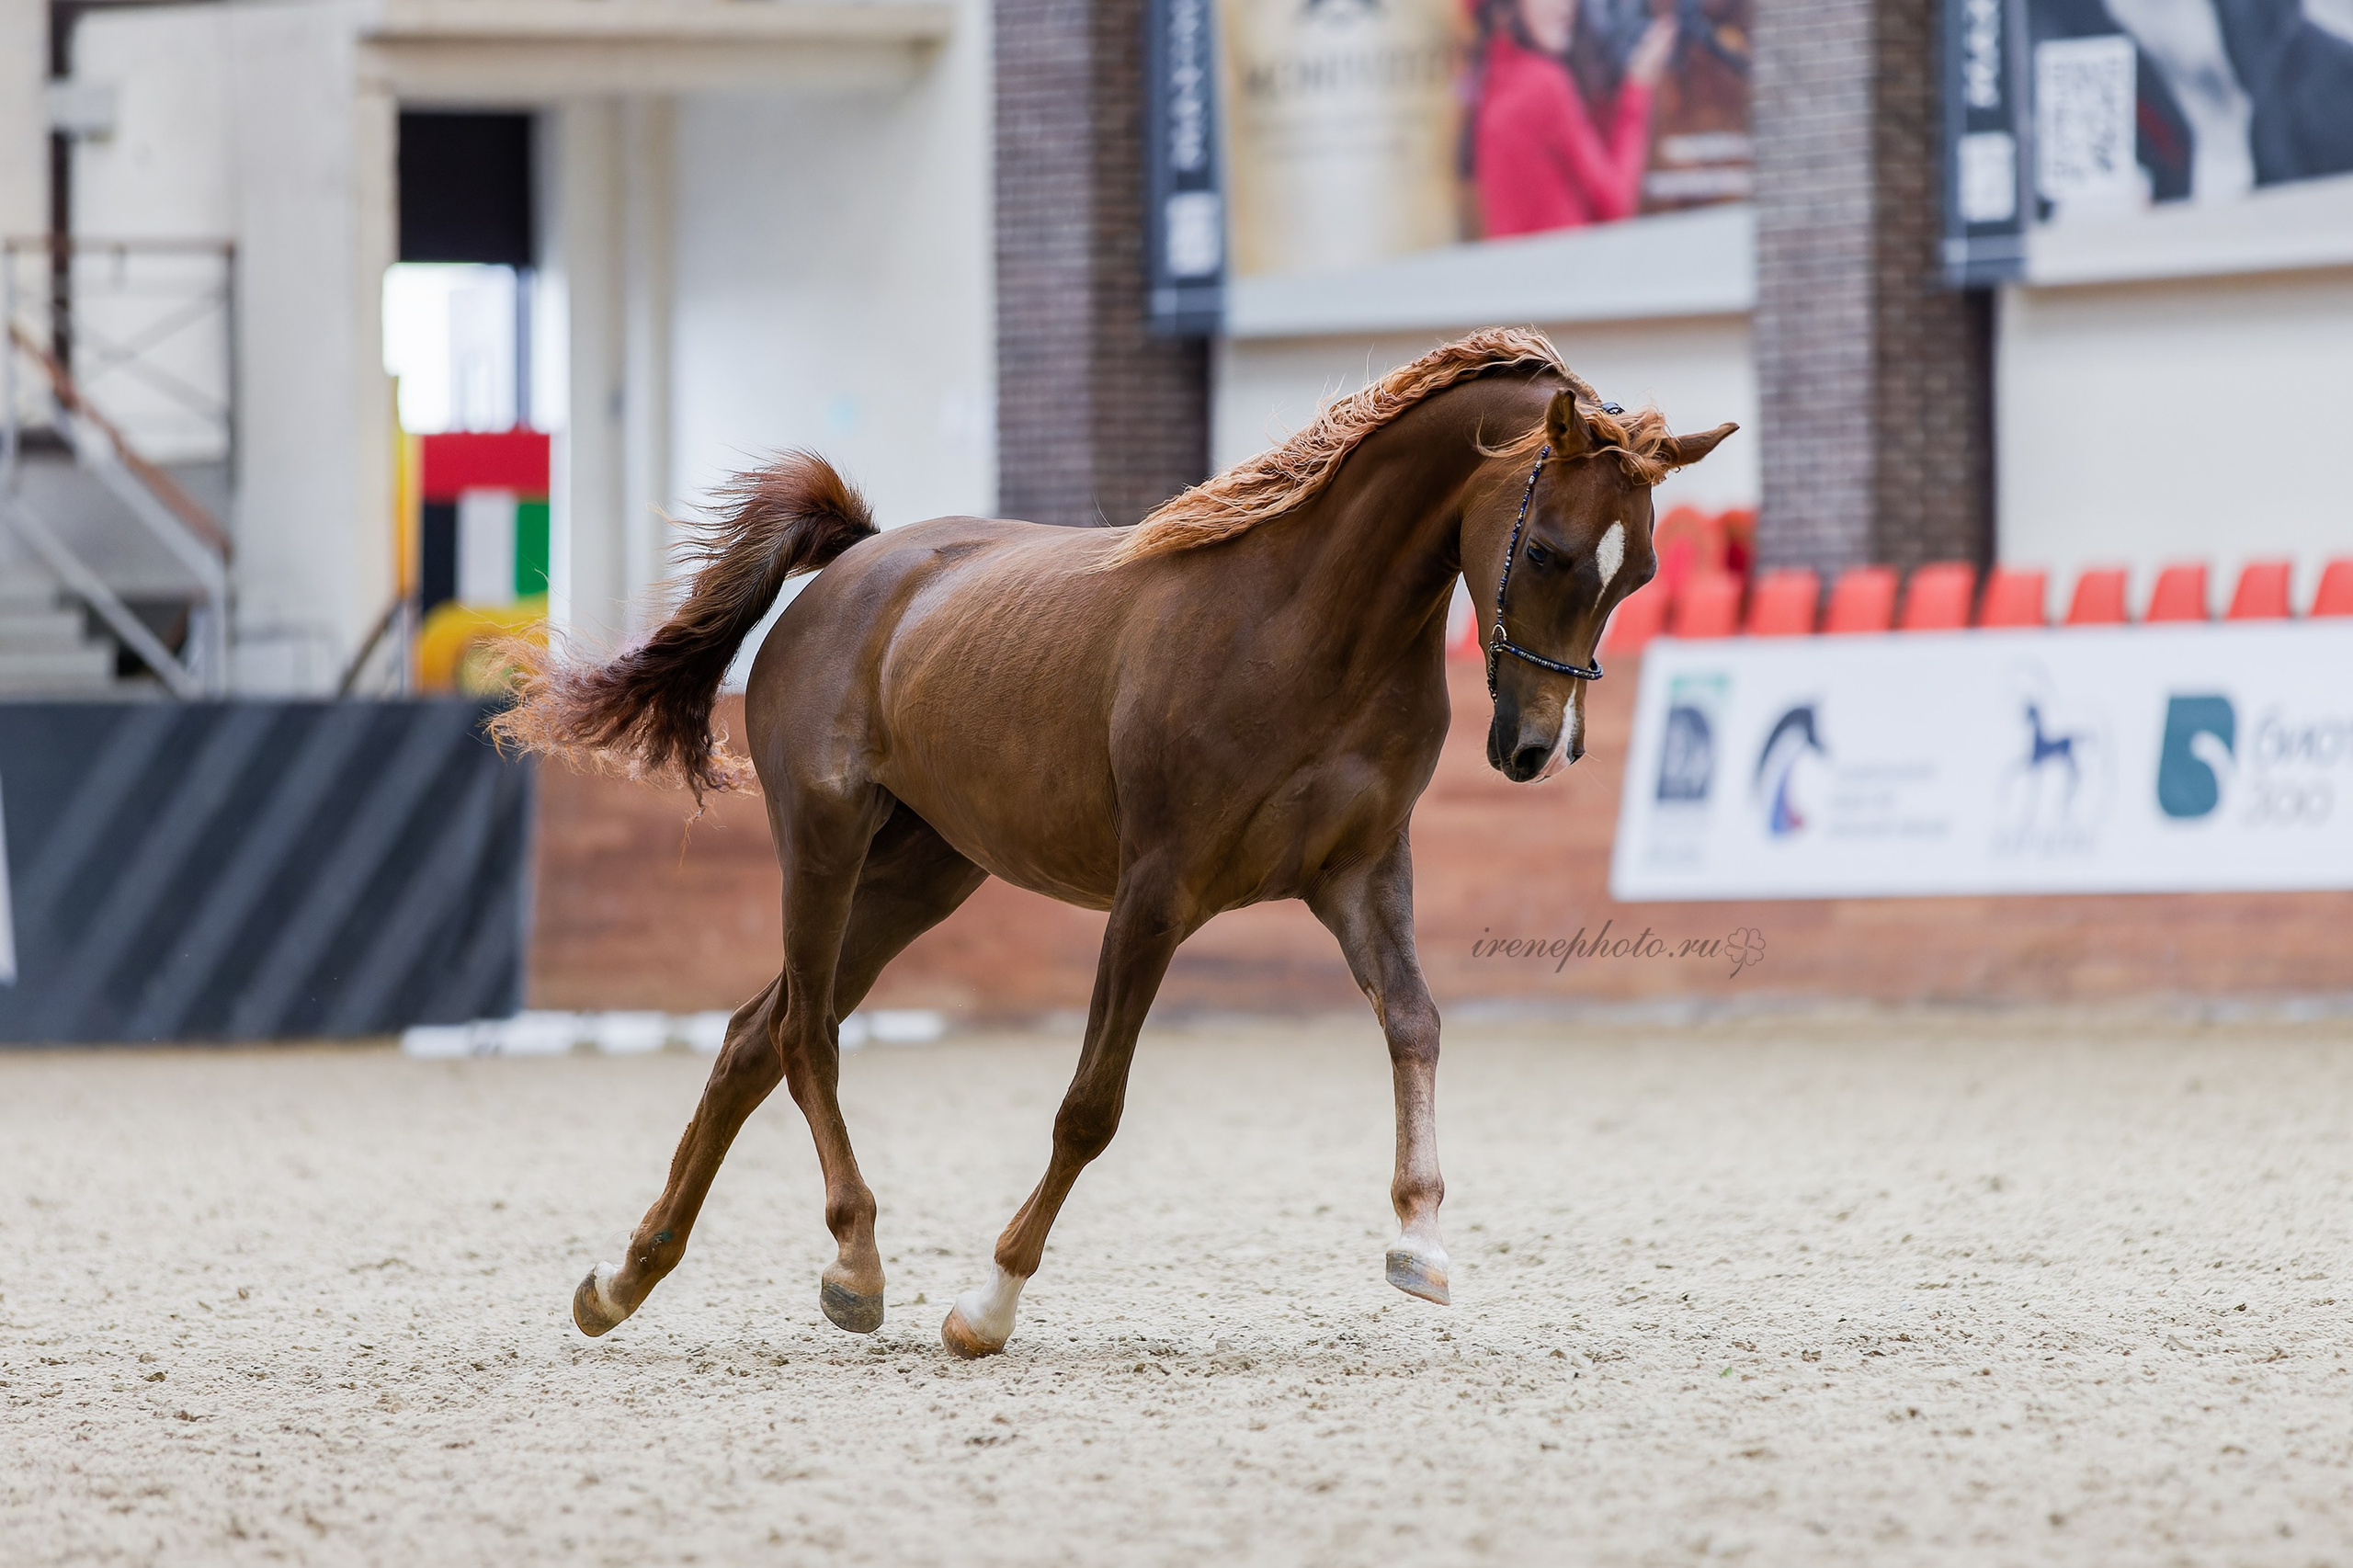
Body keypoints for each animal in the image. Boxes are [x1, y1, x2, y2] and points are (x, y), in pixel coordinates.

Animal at [494, 327, 1735, 1357]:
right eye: (1554, 553)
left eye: (1640, 571)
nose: (1536, 749)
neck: (1306, 625)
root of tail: (856, 565)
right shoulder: (1158, 889)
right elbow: (1091, 1104)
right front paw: (985, 1304)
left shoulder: (1360, 870)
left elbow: (1416, 1024)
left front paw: (1421, 1244)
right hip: (827, 840)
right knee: (804, 1034)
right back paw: (854, 1262)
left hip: (923, 872)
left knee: (755, 1036)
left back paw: (622, 1280)